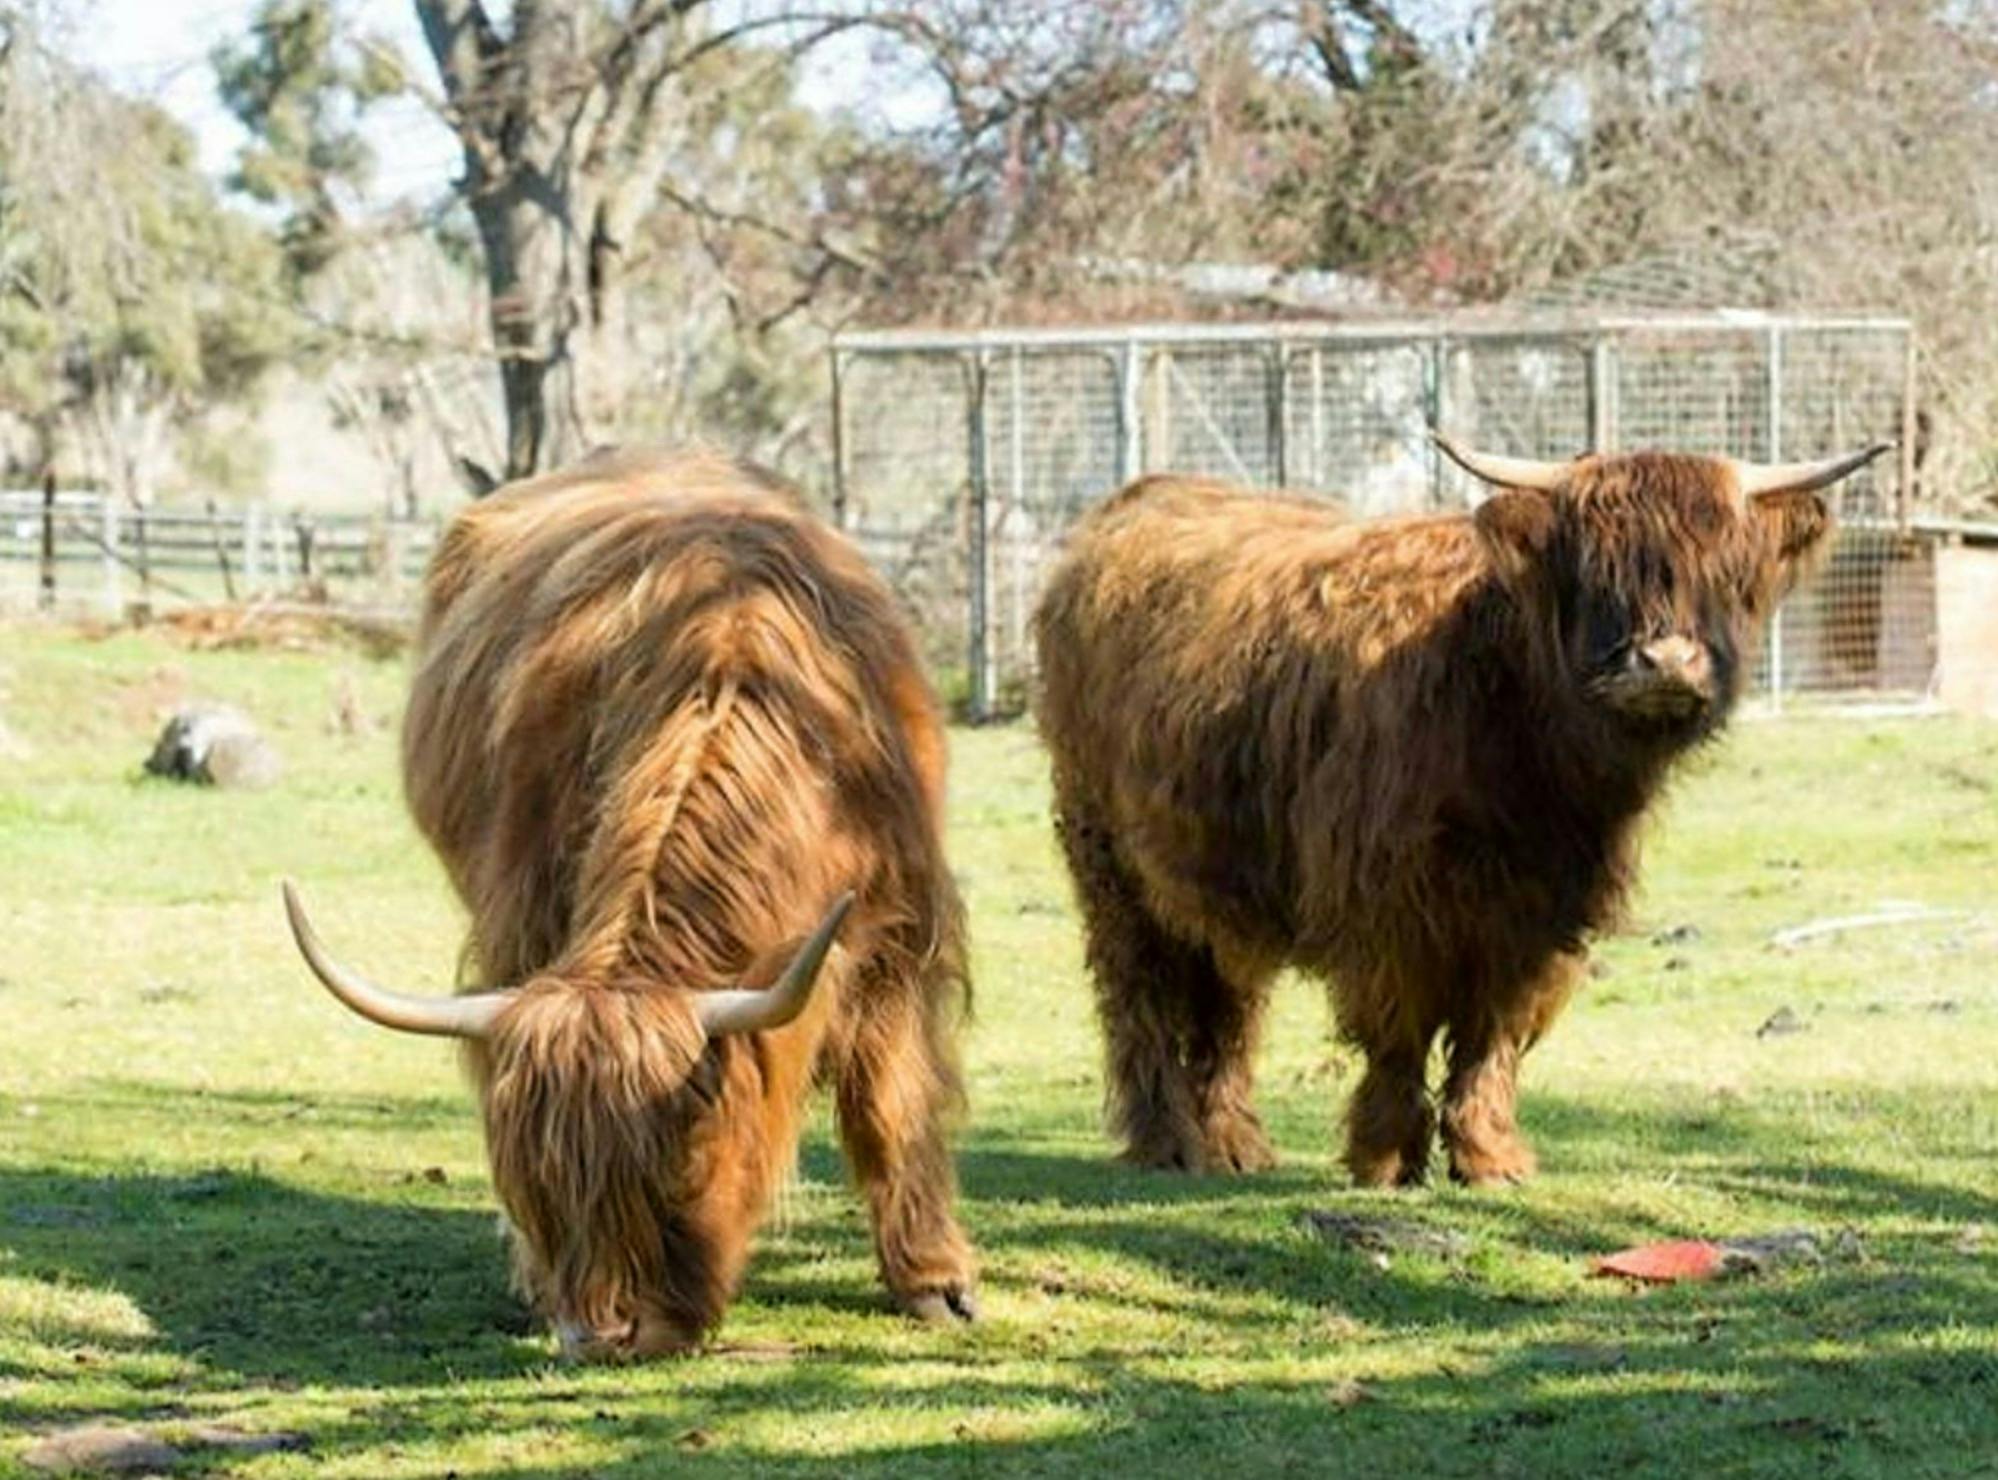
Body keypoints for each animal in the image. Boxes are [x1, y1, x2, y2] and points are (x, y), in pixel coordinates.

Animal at [282, 448, 978, 1358]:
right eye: (534, 1178)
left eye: (679, 1164)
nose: (606, 1332)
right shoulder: (520, 916)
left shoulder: (901, 930)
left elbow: (891, 1101)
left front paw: (935, 1283)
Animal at [1033, 435, 1888, 1188]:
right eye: (1595, 569)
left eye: (1725, 573)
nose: (1664, 663)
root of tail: (1138, 500)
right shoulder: (1387, 910)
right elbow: (1399, 1033)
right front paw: (1384, 1158)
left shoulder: (1541, 920)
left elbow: (1493, 1039)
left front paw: (1489, 1157)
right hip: (1107, 860)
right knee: (1137, 996)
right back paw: (1166, 1144)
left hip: (1216, 872)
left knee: (1227, 1000)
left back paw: (1235, 1145)